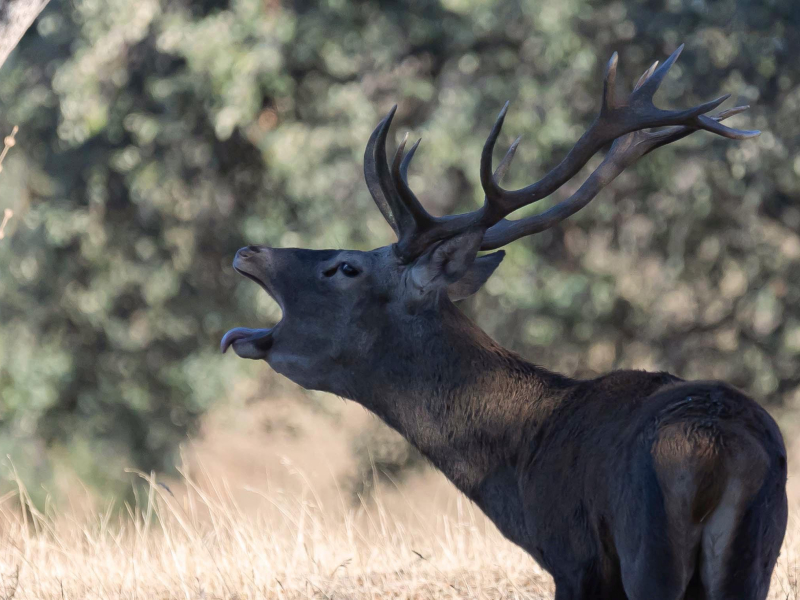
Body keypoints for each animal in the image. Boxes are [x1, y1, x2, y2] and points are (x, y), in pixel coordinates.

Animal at [220, 47, 788, 600]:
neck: (520, 472)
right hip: (755, 553)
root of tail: (717, 449)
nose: (249, 250)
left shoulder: (575, 558)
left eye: (344, 267)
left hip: (648, 548)